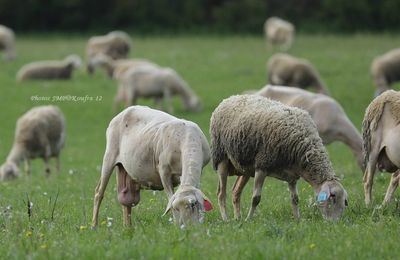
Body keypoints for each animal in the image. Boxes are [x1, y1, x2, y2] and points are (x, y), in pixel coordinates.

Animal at [209, 94, 346, 220]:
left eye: (345, 202)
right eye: (332, 197)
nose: (334, 223)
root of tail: (231, 97)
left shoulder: (292, 176)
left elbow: (295, 199)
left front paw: (298, 220)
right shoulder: (262, 165)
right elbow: (256, 198)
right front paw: (249, 219)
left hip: (244, 167)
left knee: (235, 192)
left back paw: (238, 218)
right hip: (221, 157)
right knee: (221, 193)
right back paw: (226, 219)